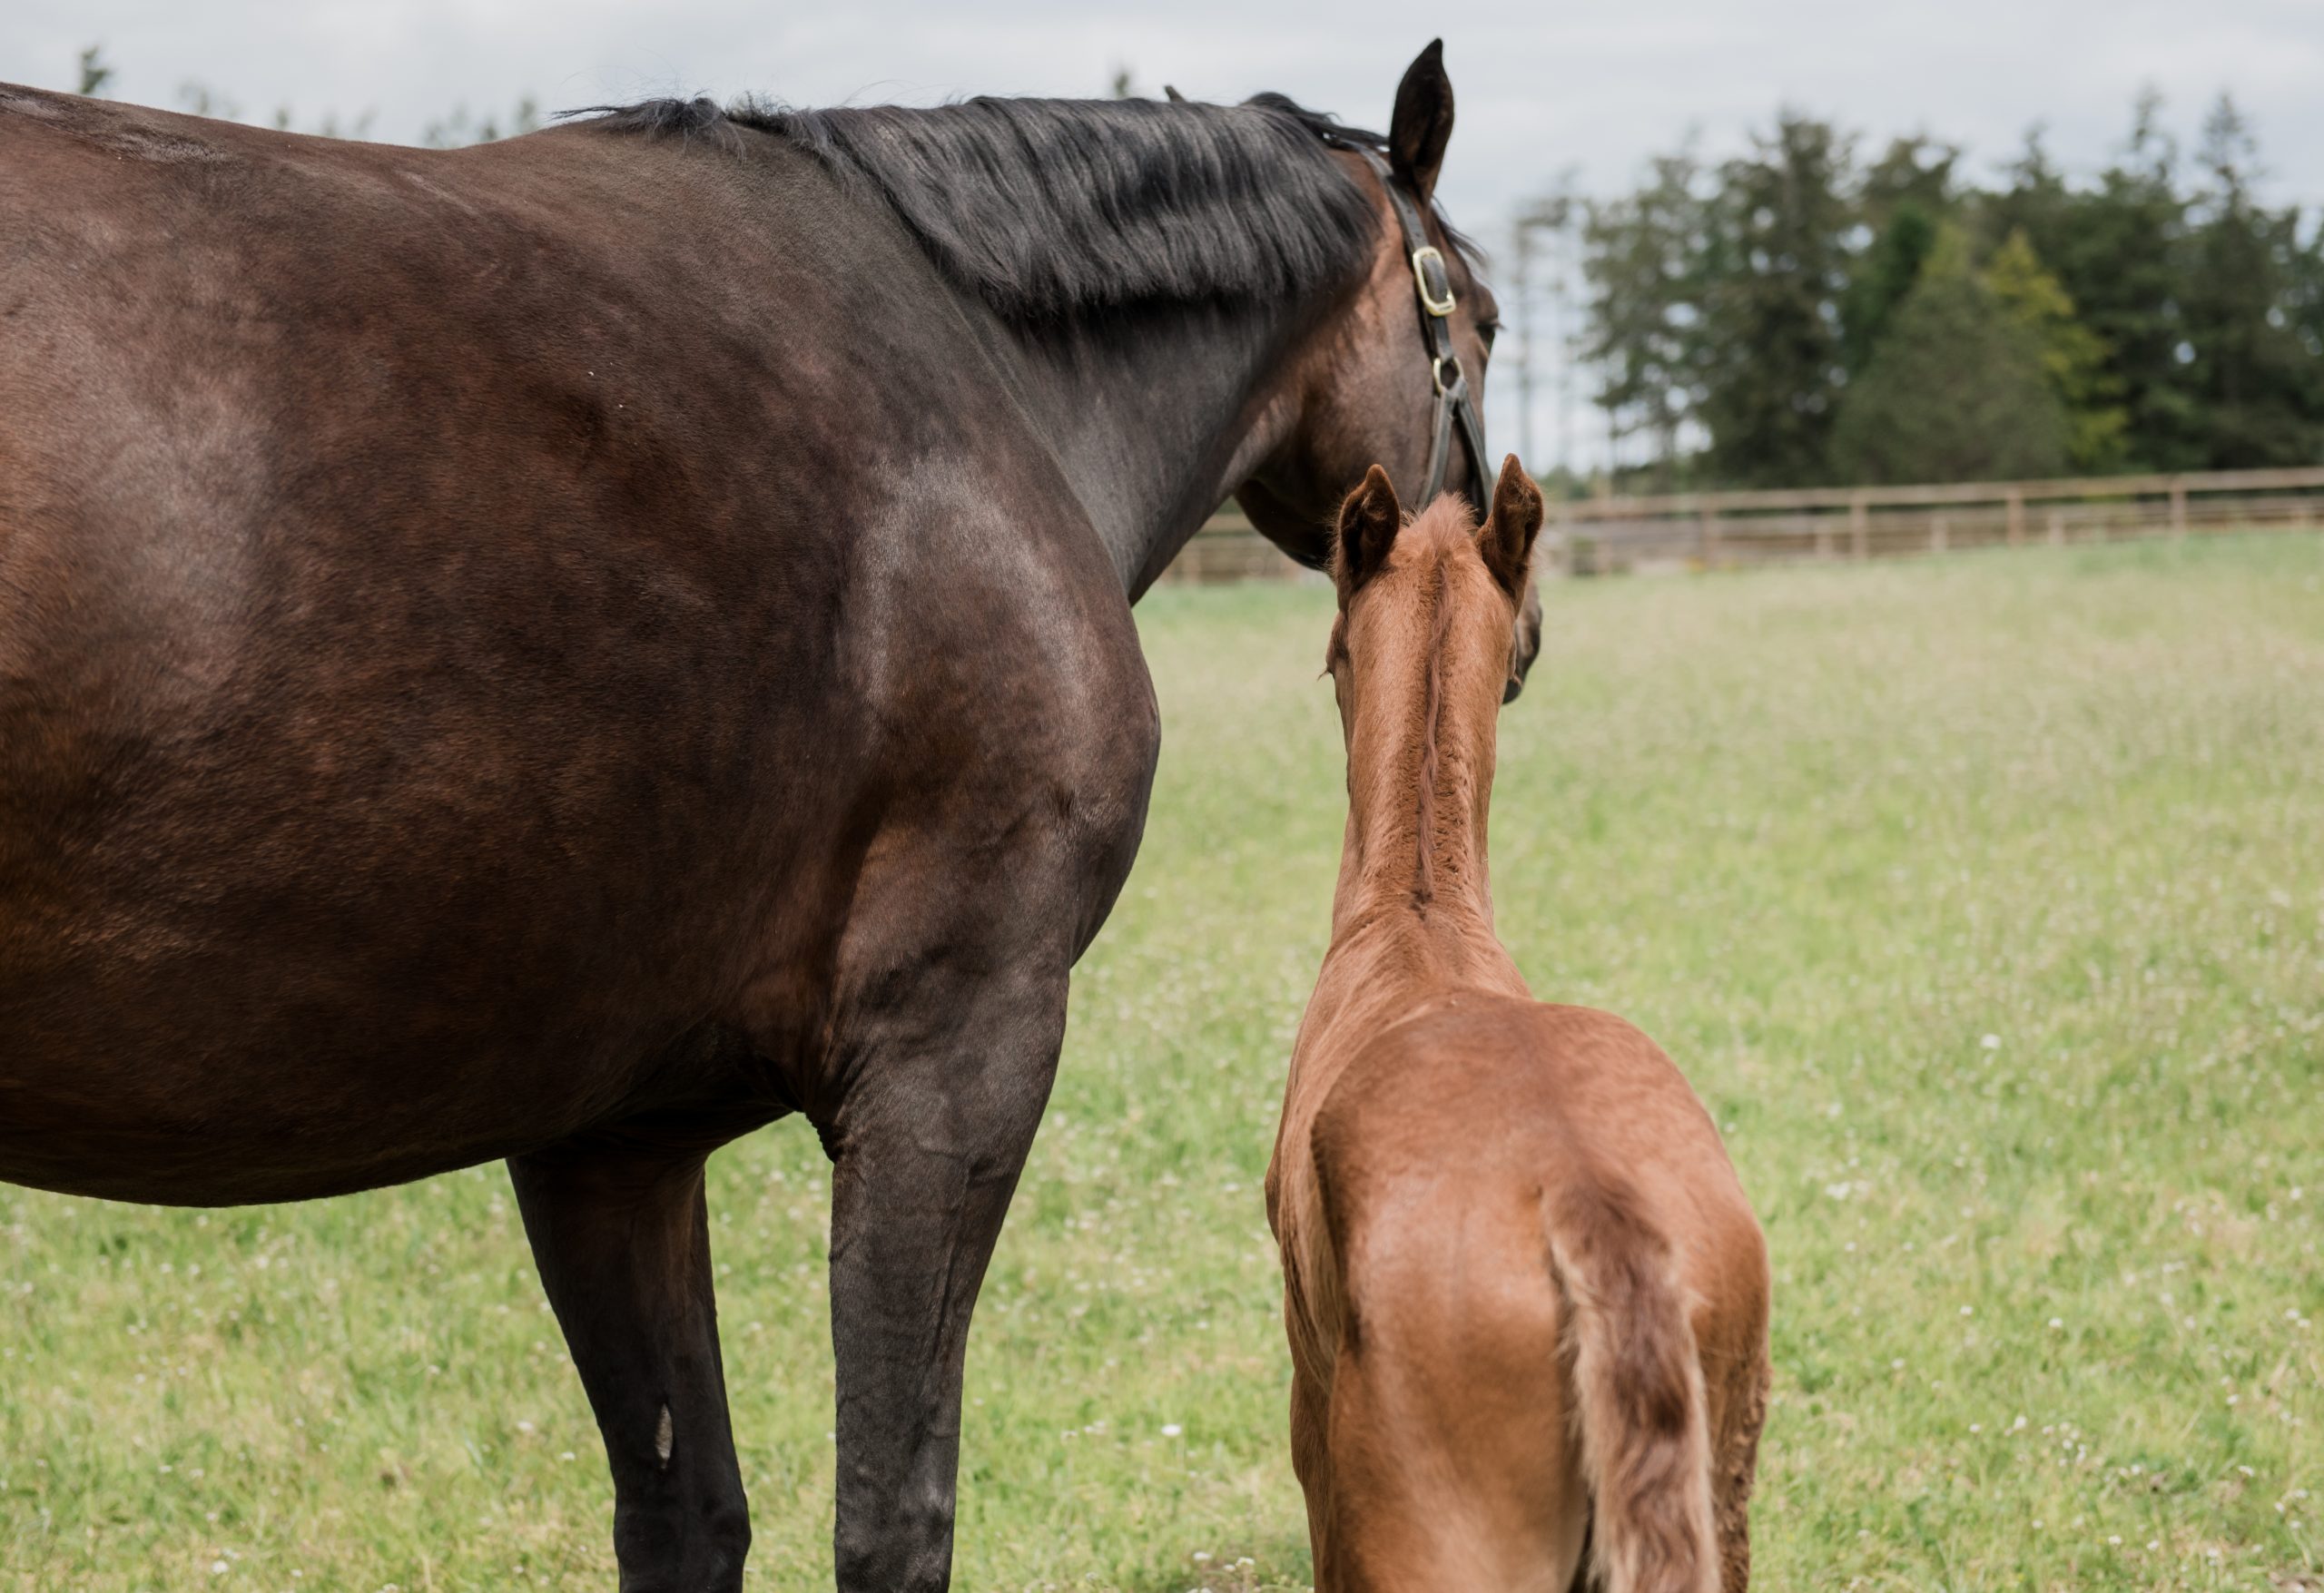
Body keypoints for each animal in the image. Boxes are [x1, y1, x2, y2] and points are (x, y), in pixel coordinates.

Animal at [0, 40, 1533, 1593]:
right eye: (1484, 321)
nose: (1516, 631)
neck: (983, 372)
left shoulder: (612, 1137)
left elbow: (687, 1508)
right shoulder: (953, 1060)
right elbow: (890, 1512)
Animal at [1273, 455, 1757, 1588]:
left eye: (1331, 657)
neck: (1417, 922)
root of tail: (1589, 1203)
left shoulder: (1310, 1401)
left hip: (1433, 1538)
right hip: (1719, 1507)